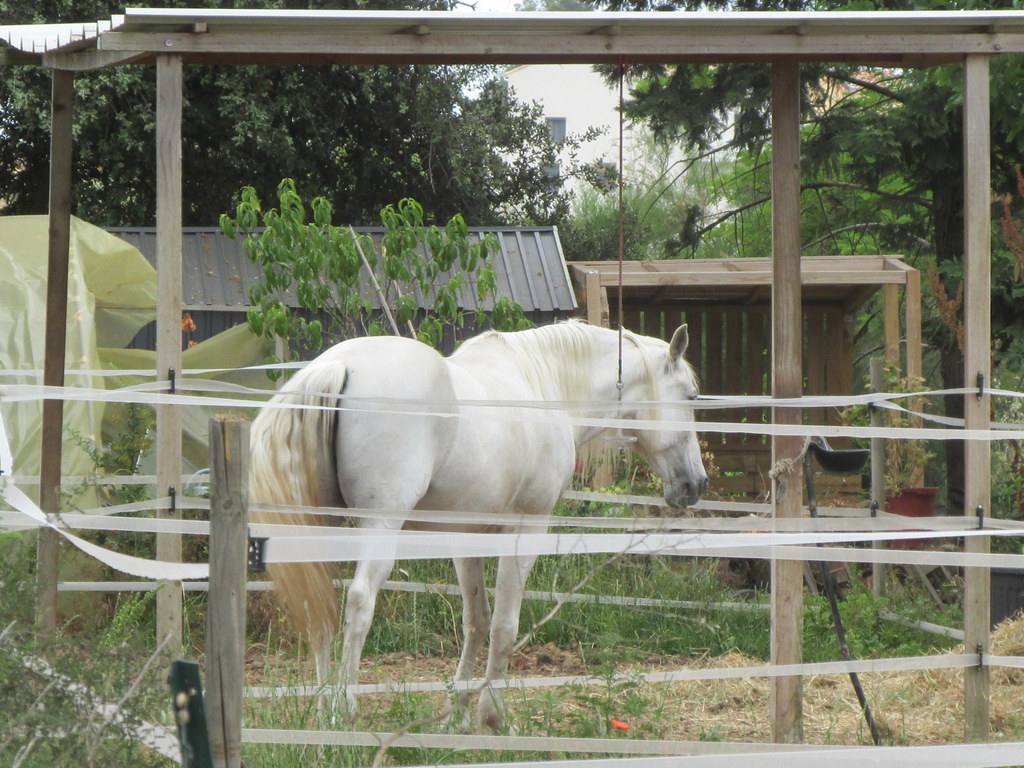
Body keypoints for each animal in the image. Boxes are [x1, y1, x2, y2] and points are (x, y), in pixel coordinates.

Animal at [251, 321, 708, 729]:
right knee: (360, 602)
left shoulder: (464, 536)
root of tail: (340, 364)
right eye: (691, 396)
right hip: (381, 526)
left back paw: (320, 714)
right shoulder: (526, 529)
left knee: (319, 605)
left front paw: (454, 718)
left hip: (322, 528)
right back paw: (343, 713)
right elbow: (505, 624)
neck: (543, 386)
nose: (696, 484)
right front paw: (494, 717)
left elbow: (476, 621)